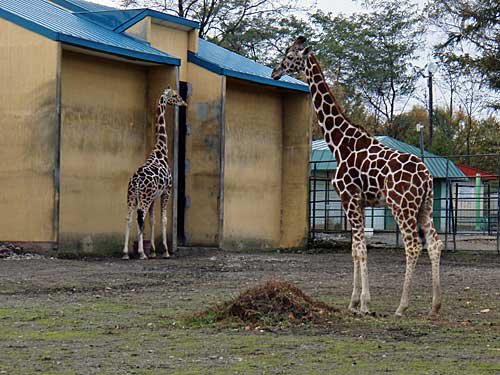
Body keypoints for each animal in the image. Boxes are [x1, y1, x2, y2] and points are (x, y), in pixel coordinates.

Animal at [123, 86, 188, 260]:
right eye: (175, 96)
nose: (184, 102)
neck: (161, 151)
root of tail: (136, 182)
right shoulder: (167, 191)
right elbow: (163, 219)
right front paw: (164, 251)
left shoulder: (154, 196)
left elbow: (153, 220)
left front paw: (152, 250)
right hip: (143, 197)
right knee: (141, 217)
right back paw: (140, 253)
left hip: (132, 197)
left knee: (129, 218)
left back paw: (125, 253)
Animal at [274, 36, 442, 318]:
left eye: (289, 55)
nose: (274, 71)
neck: (340, 143)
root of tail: (427, 178)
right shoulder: (359, 202)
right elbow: (354, 249)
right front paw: (353, 303)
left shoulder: (349, 197)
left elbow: (361, 250)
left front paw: (364, 304)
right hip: (425, 206)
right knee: (434, 243)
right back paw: (435, 306)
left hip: (402, 206)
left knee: (413, 245)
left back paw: (402, 306)